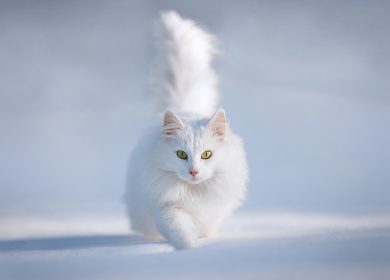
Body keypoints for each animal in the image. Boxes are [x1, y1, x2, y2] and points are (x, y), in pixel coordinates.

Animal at [125, 10, 248, 249]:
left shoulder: (213, 209)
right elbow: (179, 230)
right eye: (181, 155)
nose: (193, 171)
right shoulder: (166, 208)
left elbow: (203, 227)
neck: (194, 193)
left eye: (207, 154)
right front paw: (188, 249)